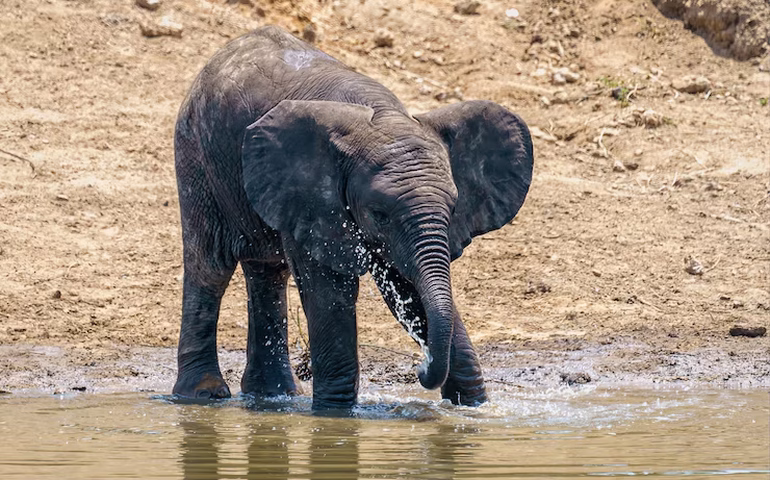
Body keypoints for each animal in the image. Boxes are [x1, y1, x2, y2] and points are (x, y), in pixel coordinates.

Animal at [172, 25, 533, 410]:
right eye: (379, 215)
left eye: (452, 209)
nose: (421, 368)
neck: (382, 115)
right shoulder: (314, 195)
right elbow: (332, 290)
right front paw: (335, 414)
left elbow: (408, 286)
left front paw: (473, 407)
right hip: (195, 154)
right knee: (210, 266)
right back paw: (202, 395)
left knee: (267, 272)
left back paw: (274, 396)